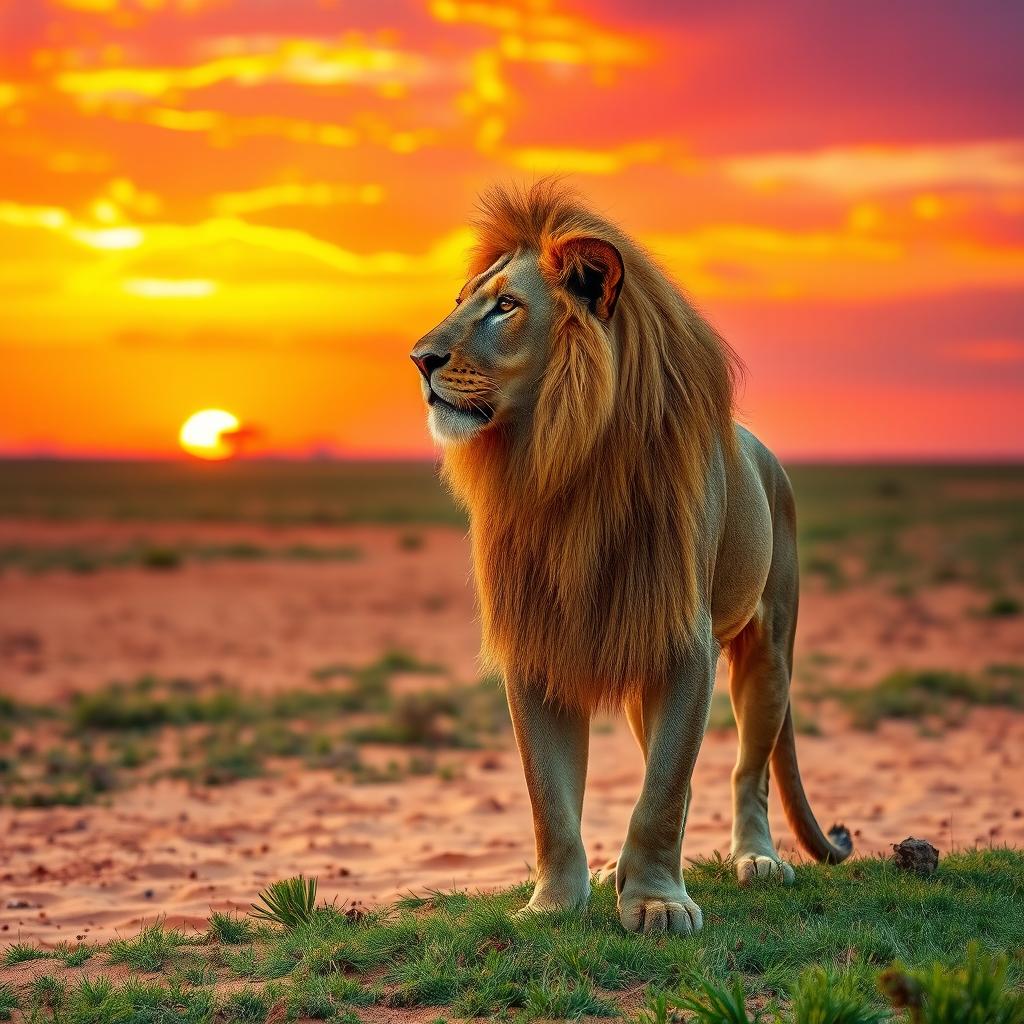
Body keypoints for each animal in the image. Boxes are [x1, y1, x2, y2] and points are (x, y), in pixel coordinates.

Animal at [410, 180, 851, 935]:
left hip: (768, 649)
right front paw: (555, 902)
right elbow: (551, 799)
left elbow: (664, 793)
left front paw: (656, 902)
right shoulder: (540, 640)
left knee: (748, 771)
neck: (563, 457)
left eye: (506, 305)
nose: (419, 358)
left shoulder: (685, 641)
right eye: (462, 299)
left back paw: (757, 860)